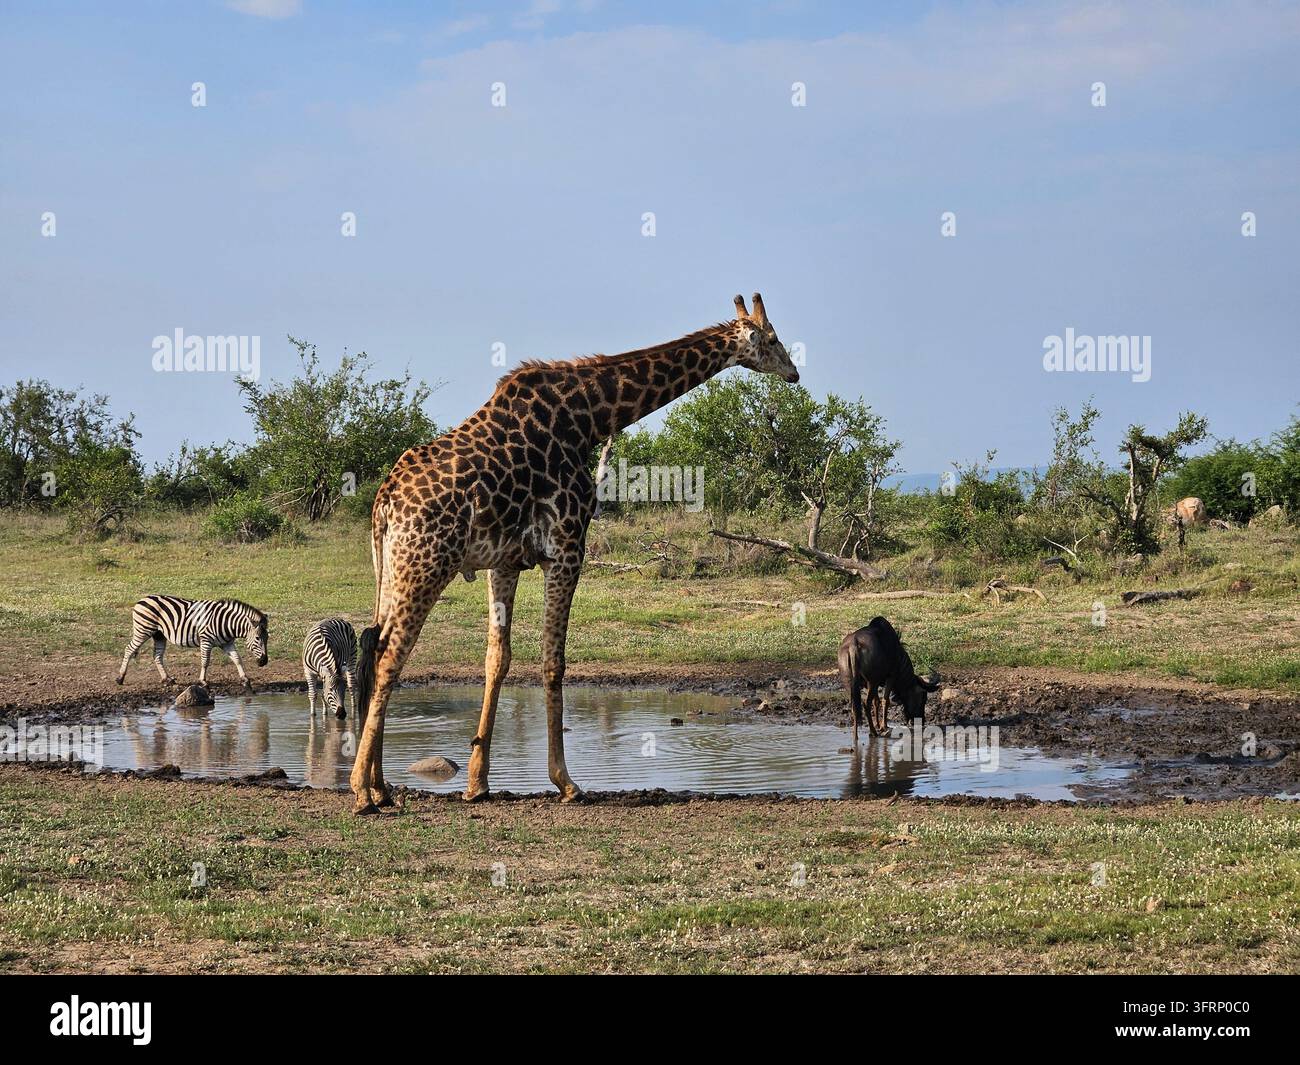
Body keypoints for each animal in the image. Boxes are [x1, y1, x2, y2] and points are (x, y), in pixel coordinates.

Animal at [116, 595, 269, 690]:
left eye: (267, 638)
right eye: (257, 639)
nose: (264, 662)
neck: (226, 623)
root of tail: (142, 599)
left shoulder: (227, 643)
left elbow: (237, 659)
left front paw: (245, 680)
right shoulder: (206, 639)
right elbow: (205, 662)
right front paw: (203, 682)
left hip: (159, 635)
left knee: (157, 655)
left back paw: (167, 679)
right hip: (143, 630)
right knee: (129, 649)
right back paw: (120, 678)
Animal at [349, 293, 799, 813]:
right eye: (772, 338)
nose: (794, 373)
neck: (589, 418)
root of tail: (384, 501)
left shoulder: (504, 561)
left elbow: (497, 659)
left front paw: (477, 782)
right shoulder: (567, 547)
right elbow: (554, 660)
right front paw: (565, 781)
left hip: (391, 568)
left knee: (372, 647)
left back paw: (382, 786)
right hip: (426, 564)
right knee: (389, 656)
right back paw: (361, 791)